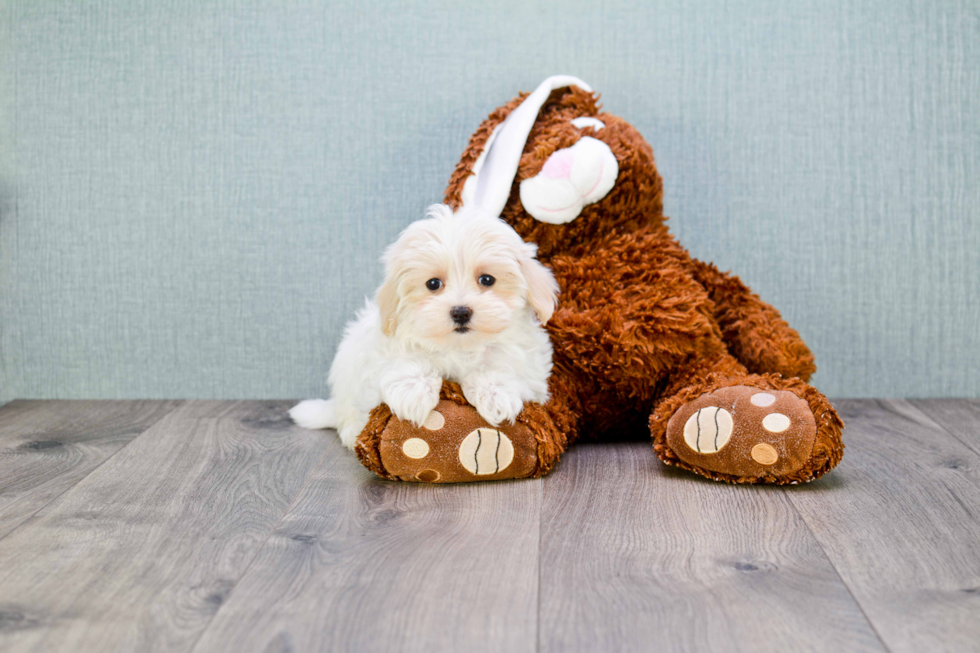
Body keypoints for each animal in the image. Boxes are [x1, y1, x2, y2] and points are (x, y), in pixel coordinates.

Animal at [290, 204, 560, 448]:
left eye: (487, 279)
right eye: (433, 284)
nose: (460, 312)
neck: (460, 347)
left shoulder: (532, 372)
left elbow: (500, 368)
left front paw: (496, 394)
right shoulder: (383, 348)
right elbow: (406, 360)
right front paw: (414, 392)